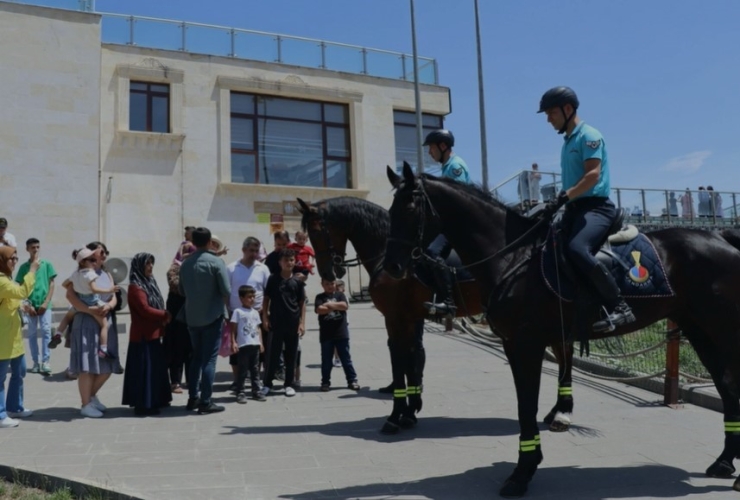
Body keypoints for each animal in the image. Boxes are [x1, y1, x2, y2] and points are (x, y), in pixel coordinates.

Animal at [298, 195, 576, 434]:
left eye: (317, 231)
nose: (328, 274)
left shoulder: (395, 319)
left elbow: (400, 363)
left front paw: (396, 416)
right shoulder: (410, 319)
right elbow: (412, 362)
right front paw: (410, 412)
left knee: (565, 353)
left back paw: (562, 413)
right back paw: (556, 411)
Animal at [384, 163, 740, 496]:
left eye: (410, 208)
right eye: (391, 209)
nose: (392, 266)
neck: (513, 257)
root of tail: (720, 236)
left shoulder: (527, 345)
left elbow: (526, 406)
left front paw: (521, 474)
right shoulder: (515, 345)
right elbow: (525, 405)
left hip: (723, 329)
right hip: (699, 329)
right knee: (726, 386)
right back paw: (724, 462)